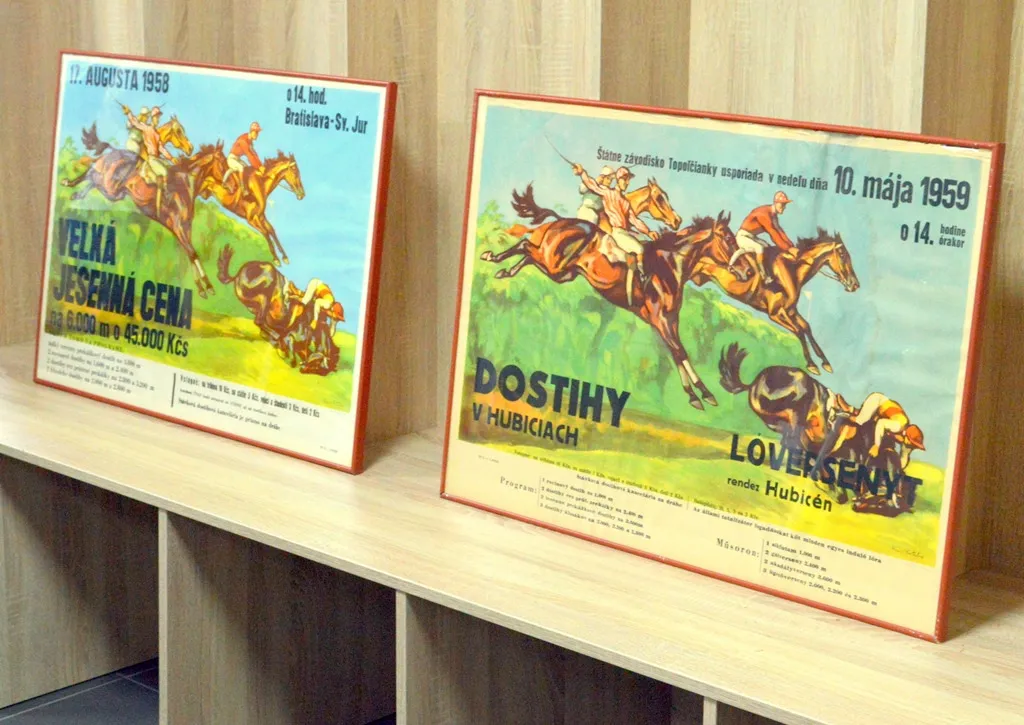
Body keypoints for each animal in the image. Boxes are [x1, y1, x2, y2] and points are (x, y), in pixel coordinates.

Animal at [61, 140, 227, 298]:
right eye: (222, 161)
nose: (227, 186)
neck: (184, 186)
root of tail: (114, 152)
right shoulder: (178, 226)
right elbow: (192, 253)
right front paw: (207, 286)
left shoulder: (184, 228)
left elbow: (190, 254)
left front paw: (203, 287)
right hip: (110, 188)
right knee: (91, 175)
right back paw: (69, 183)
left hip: (114, 192)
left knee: (93, 181)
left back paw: (76, 193)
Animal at [216, 244, 340, 375]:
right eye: (318, 366)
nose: (302, 369)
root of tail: (238, 274)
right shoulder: (293, 336)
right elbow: (291, 351)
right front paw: (284, 351)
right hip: (266, 291)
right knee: (259, 321)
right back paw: (276, 337)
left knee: (261, 323)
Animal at [480, 184, 725, 411]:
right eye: (659, 198)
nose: (676, 220)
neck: (668, 264)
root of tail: (561, 221)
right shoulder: (661, 320)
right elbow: (679, 351)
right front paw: (701, 394)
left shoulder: (668, 321)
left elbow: (676, 353)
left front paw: (698, 395)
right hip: (553, 263)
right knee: (525, 246)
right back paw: (492, 257)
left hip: (560, 271)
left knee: (528, 254)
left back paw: (504, 270)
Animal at [690, 226, 860, 375]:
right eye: (843, 255)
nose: (855, 285)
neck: (792, 270)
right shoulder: (775, 314)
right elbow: (799, 331)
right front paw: (811, 365)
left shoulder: (790, 310)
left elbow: (806, 327)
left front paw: (825, 362)